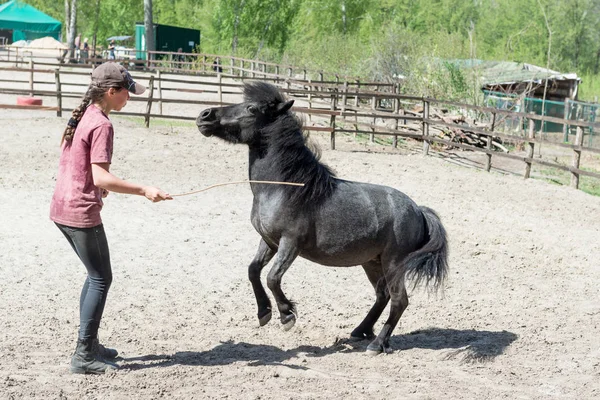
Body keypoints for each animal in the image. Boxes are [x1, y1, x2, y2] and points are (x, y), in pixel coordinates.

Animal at [195, 80, 448, 354]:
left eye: (252, 108)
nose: (204, 116)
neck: (286, 188)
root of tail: (418, 210)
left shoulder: (290, 244)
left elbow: (273, 278)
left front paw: (286, 316)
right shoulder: (269, 242)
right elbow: (253, 271)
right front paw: (264, 313)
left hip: (394, 263)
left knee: (399, 301)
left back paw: (377, 344)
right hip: (372, 262)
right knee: (383, 296)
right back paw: (360, 332)